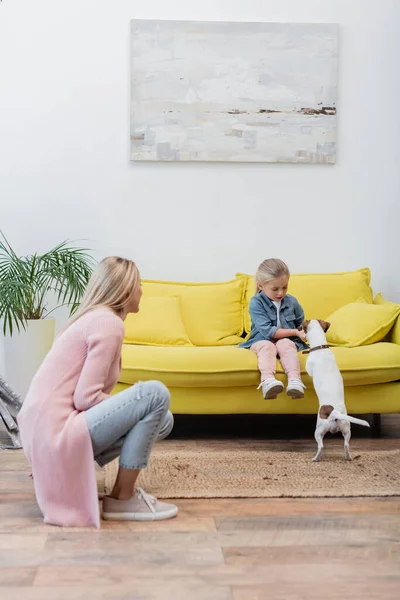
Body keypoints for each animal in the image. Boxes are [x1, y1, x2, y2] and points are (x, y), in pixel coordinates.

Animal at [302, 322, 370, 462]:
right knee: (346, 445)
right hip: (346, 429)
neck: (320, 348)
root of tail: (335, 413)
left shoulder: (309, 368)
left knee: (321, 446)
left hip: (319, 430)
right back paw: (348, 457)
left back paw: (315, 458)